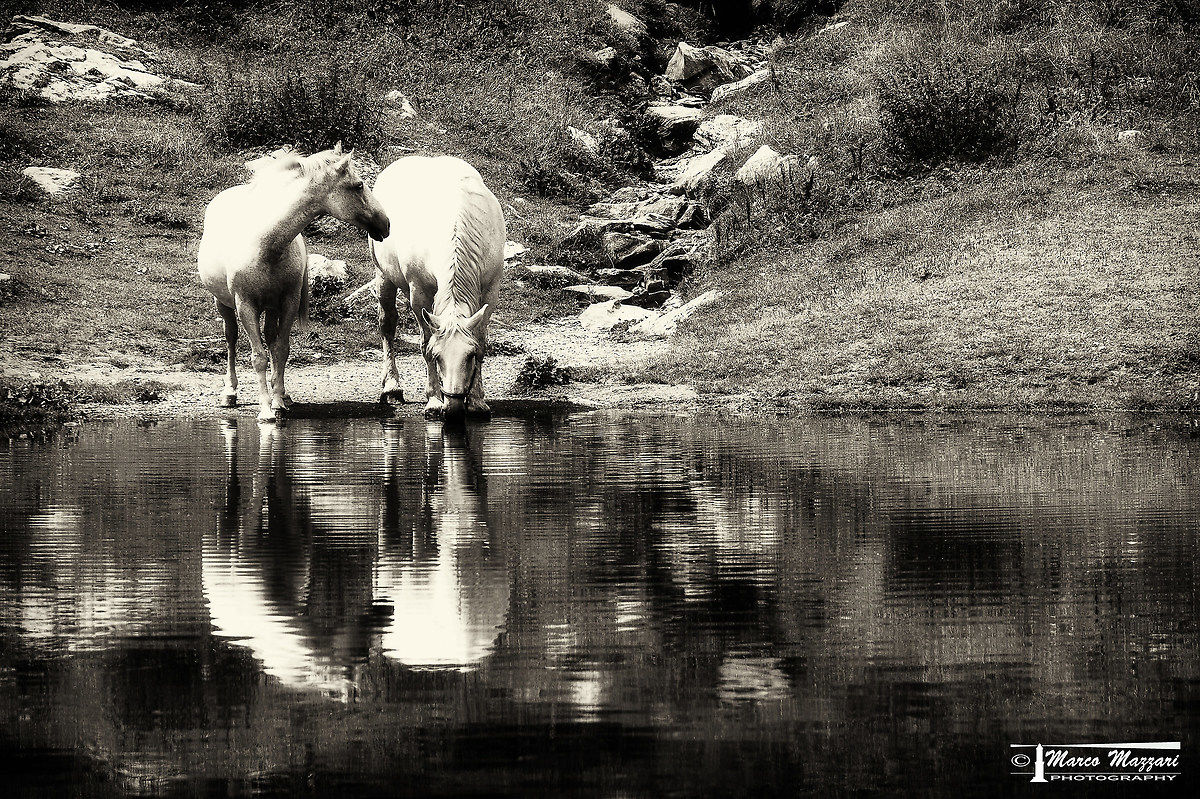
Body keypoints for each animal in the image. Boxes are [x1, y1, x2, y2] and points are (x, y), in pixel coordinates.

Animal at [198, 143, 390, 422]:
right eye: (358, 185)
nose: (386, 223)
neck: (265, 245)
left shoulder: (287, 302)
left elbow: (281, 350)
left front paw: (278, 401)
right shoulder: (246, 305)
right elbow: (258, 357)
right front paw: (266, 409)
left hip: (271, 307)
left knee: (271, 338)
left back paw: (283, 394)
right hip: (223, 303)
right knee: (231, 339)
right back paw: (230, 393)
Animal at [369, 156, 506, 421]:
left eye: (469, 356)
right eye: (437, 356)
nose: (452, 407)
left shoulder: (490, 292)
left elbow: (481, 340)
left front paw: (477, 400)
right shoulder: (419, 293)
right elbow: (424, 341)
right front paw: (433, 400)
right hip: (383, 276)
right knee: (387, 325)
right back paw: (392, 387)